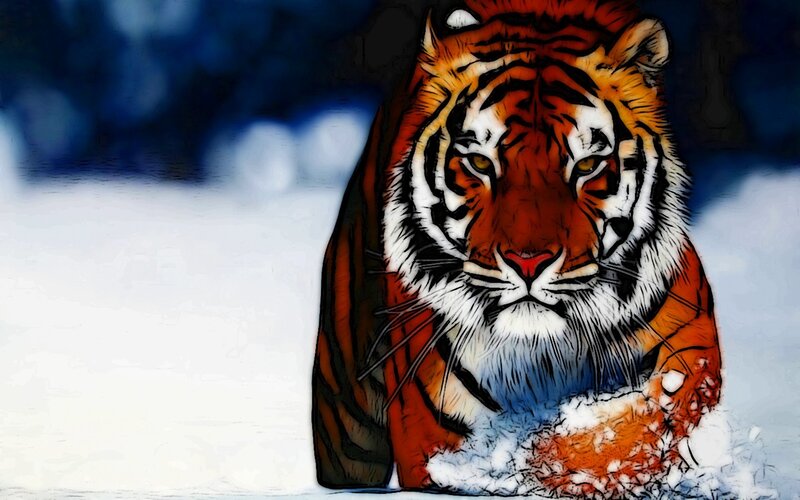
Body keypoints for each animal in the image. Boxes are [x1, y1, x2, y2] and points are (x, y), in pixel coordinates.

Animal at [312, 0, 722, 497]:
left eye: (587, 165)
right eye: (479, 162)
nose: (529, 263)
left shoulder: (688, 347)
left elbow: (641, 423)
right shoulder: (432, 436)